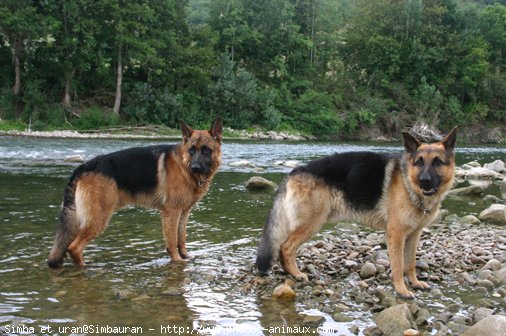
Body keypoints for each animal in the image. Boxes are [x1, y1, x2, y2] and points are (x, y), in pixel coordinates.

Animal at [48, 118, 222, 268]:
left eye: (206, 150)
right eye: (191, 150)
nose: (195, 168)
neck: (183, 165)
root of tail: (86, 165)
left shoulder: (184, 212)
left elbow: (182, 237)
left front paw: (184, 256)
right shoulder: (171, 212)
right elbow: (172, 241)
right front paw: (177, 261)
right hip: (98, 219)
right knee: (74, 247)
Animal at [256, 127, 458, 298]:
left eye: (437, 162)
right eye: (419, 162)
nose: (424, 181)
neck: (408, 182)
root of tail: (293, 171)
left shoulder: (413, 235)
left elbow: (410, 264)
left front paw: (414, 283)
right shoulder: (396, 234)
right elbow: (398, 266)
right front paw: (401, 290)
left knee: (283, 248)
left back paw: (289, 273)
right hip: (311, 224)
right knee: (286, 247)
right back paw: (297, 274)